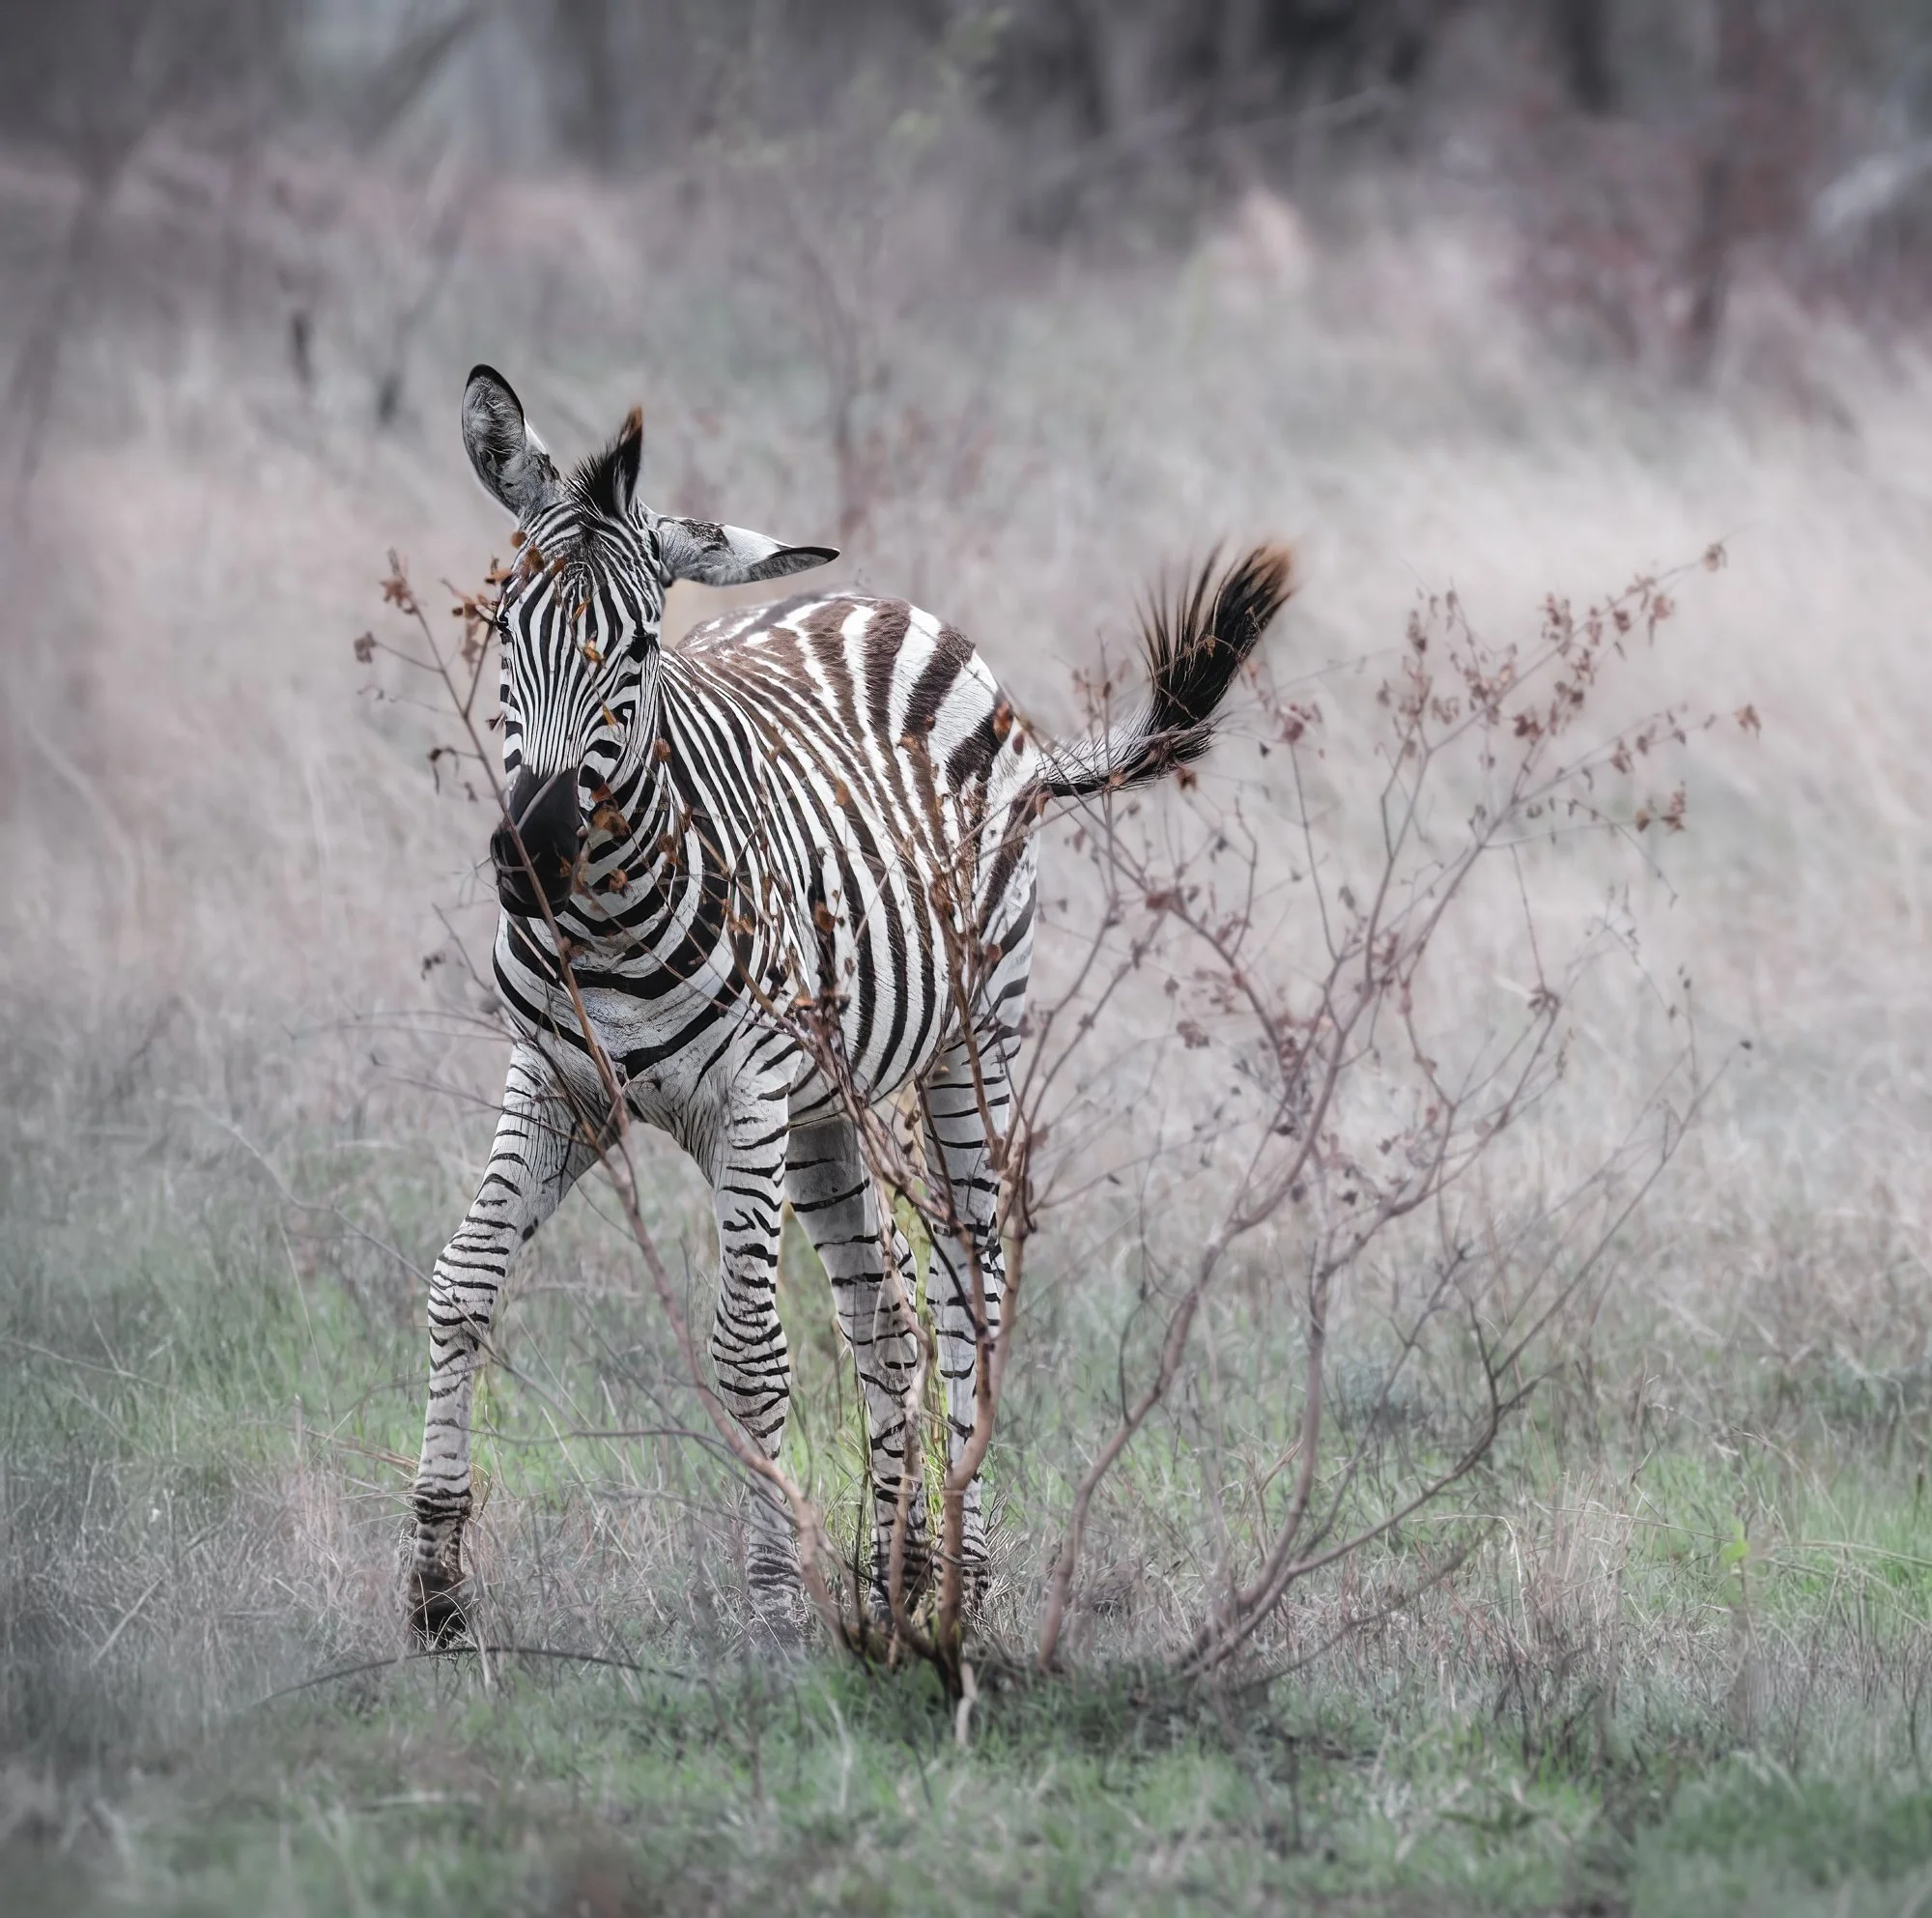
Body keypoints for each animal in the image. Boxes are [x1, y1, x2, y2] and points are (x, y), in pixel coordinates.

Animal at [408, 365, 1292, 1644]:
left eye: (638, 645)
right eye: (500, 625)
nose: (530, 855)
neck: (607, 915)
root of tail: (885, 606)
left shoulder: (745, 1103)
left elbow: (748, 1352)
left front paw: (775, 1606)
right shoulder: (560, 1083)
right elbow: (462, 1283)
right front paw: (434, 1582)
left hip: (970, 1042)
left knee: (966, 1292)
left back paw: (956, 1580)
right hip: (825, 1109)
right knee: (886, 1321)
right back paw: (894, 1571)